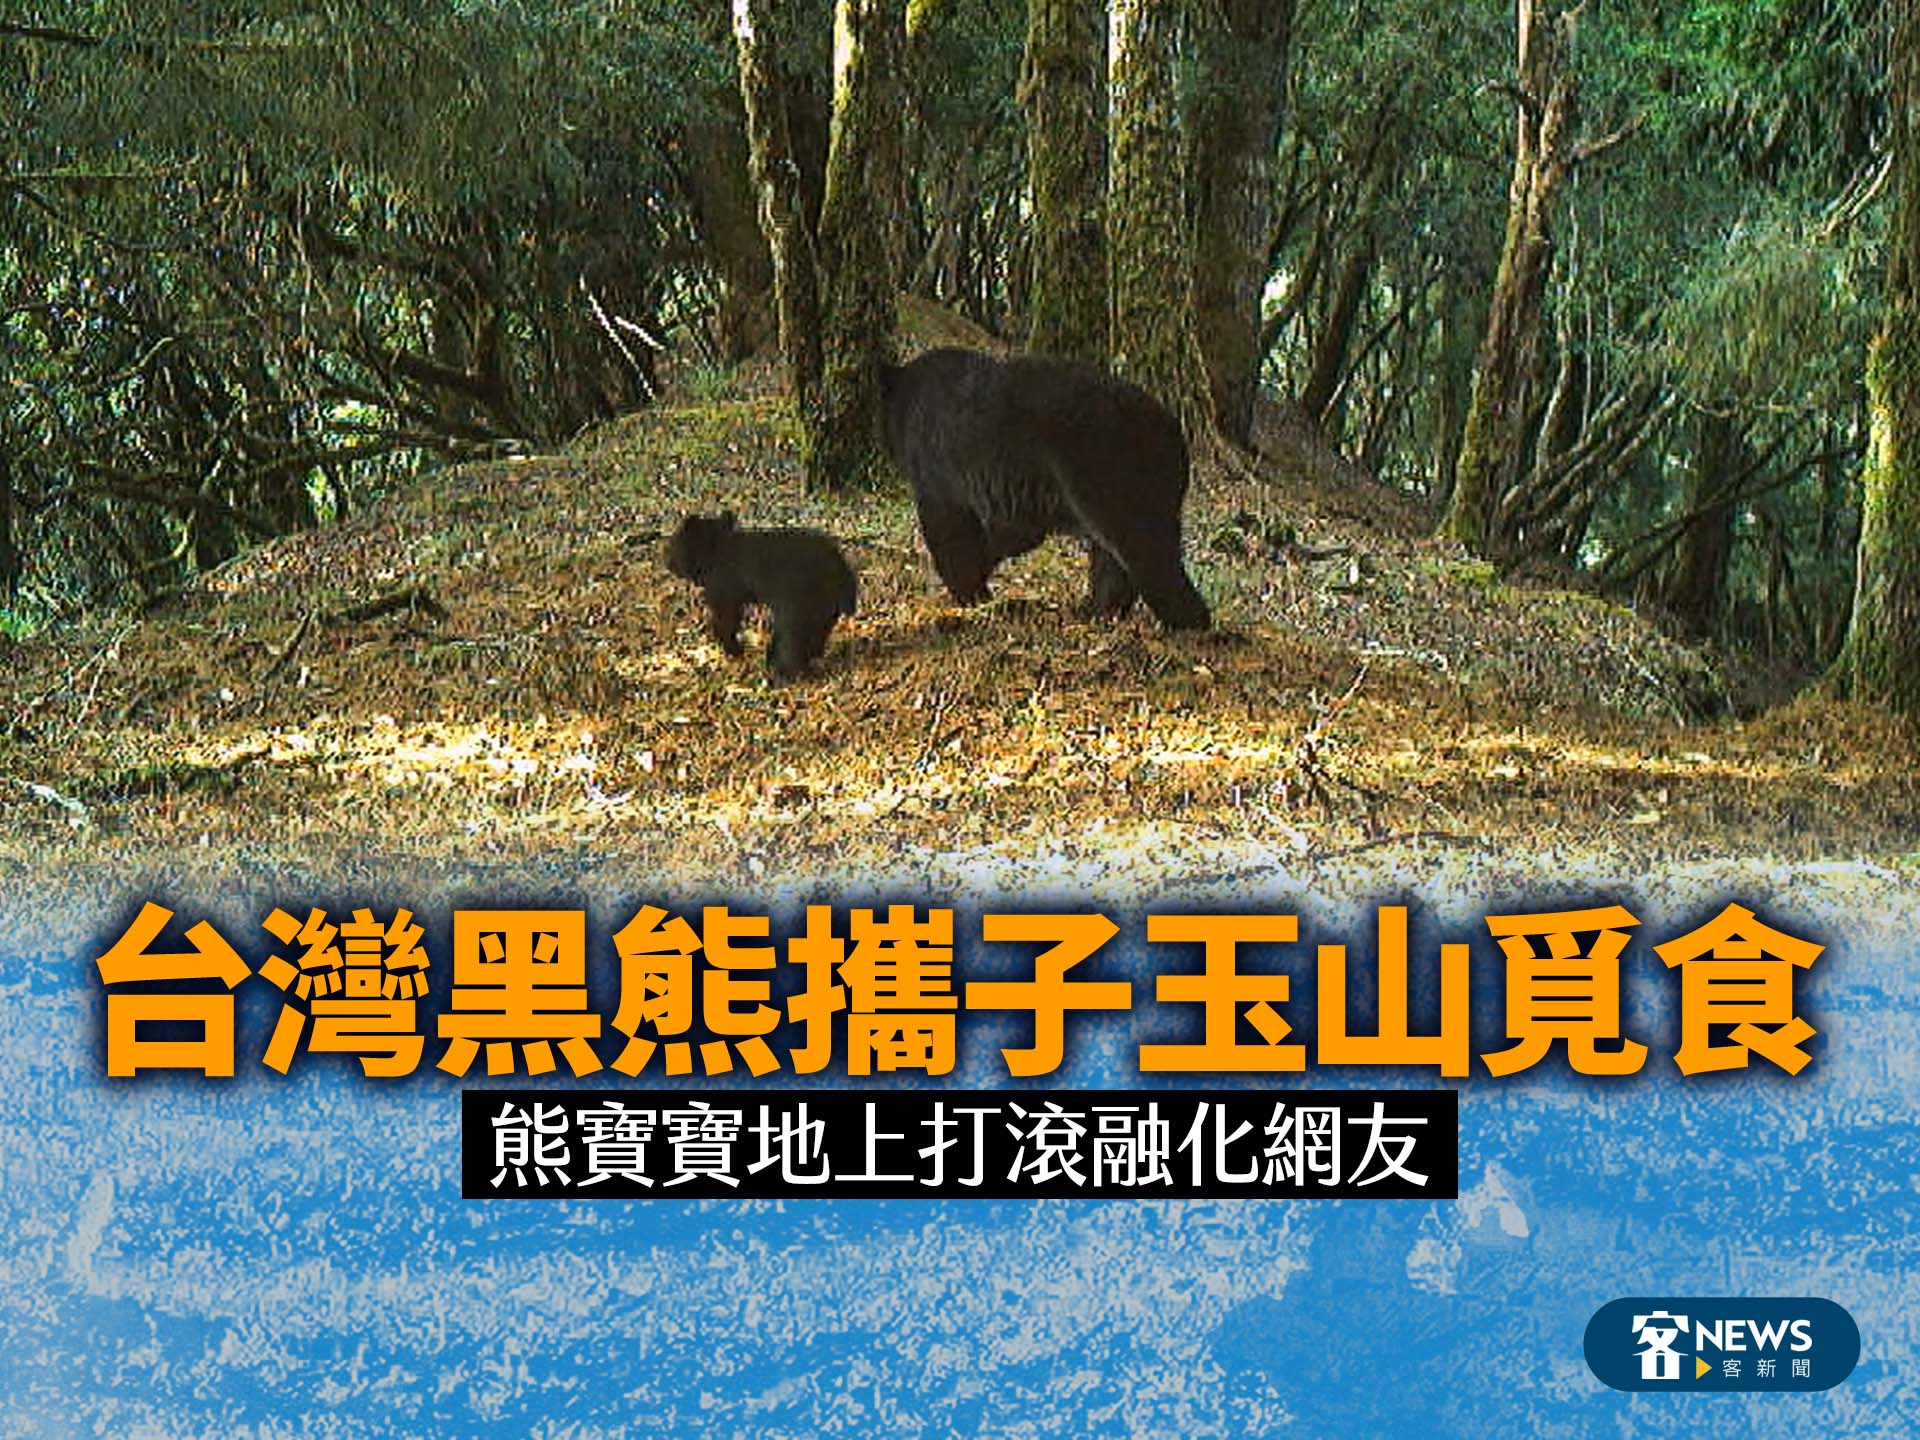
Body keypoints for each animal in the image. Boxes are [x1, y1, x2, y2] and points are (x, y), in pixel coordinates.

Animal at [664, 512, 858, 678]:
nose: (667, 562)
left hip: (801, 596)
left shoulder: (724, 584)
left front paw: (732, 649)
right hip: (824, 603)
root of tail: (840, 567)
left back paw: (782, 674)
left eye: (673, 544)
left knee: (793, 636)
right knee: (816, 631)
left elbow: (725, 617)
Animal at [878, 347, 1211, 630]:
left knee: (1144, 548)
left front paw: (970, 593)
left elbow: (949, 528)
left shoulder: (938, 467)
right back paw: (1098, 611)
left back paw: (1188, 621)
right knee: (1112, 556)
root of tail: (1173, 432)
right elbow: (1016, 531)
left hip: (1108, 473)